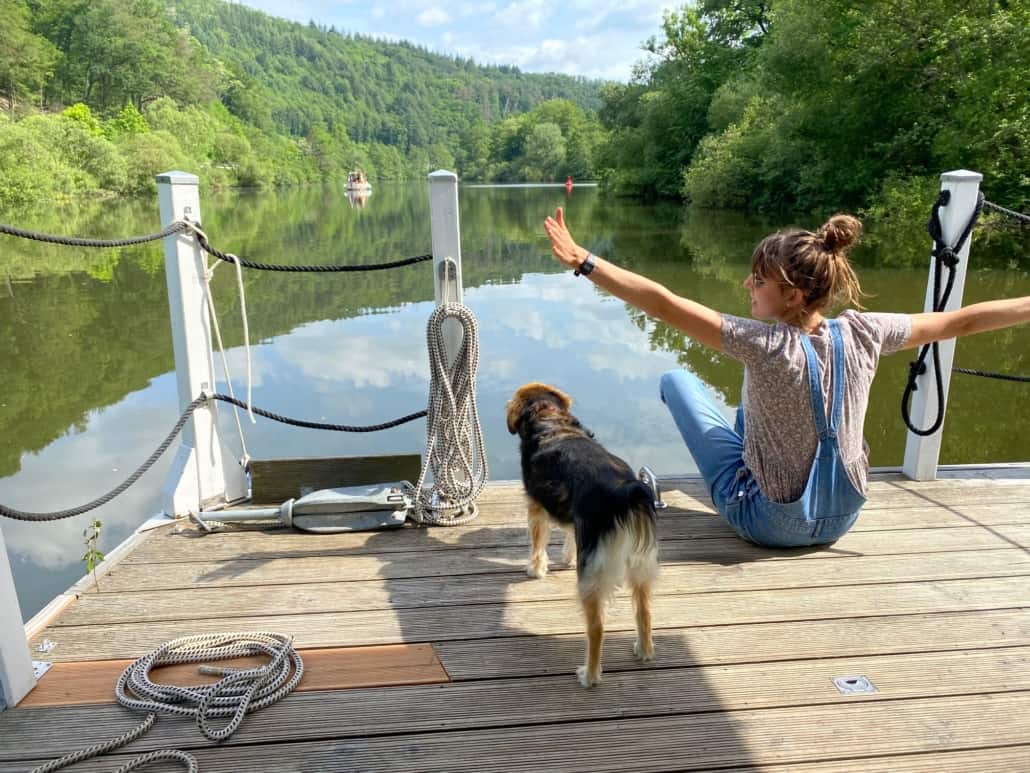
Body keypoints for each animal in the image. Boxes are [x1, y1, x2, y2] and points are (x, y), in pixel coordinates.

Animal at [506, 383, 659, 688]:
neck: (549, 417)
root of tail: (624, 491)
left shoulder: (536, 506)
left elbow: (537, 543)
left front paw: (535, 570)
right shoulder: (573, 517)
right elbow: (568, 534)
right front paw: (566, 555)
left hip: (591, 577)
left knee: (597, 628)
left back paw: (589, 676)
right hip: (640, 563)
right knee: (644, 610)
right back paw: (645, 651)